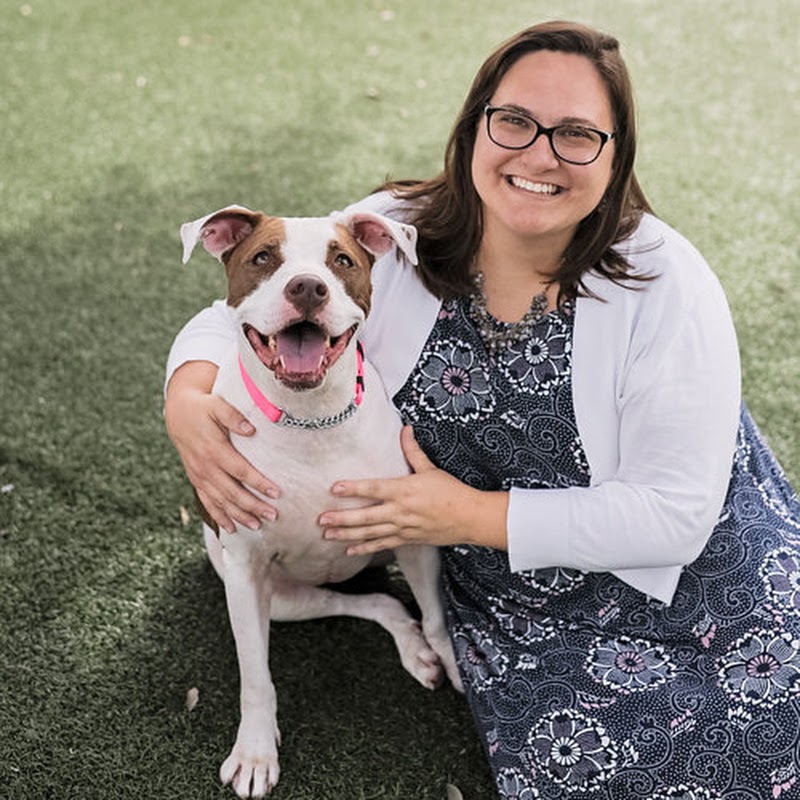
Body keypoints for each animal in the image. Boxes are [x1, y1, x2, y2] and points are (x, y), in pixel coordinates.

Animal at [179, 205, 460, 792]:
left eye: (342, 261)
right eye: (264, 257)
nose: (308, 286)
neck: (312, 421)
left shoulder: (415, 536)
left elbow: (436, 616)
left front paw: (454, 666)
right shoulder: (245, 575)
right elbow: (255, 677)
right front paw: (255, 753)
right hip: (280, 596)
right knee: (374, 603)